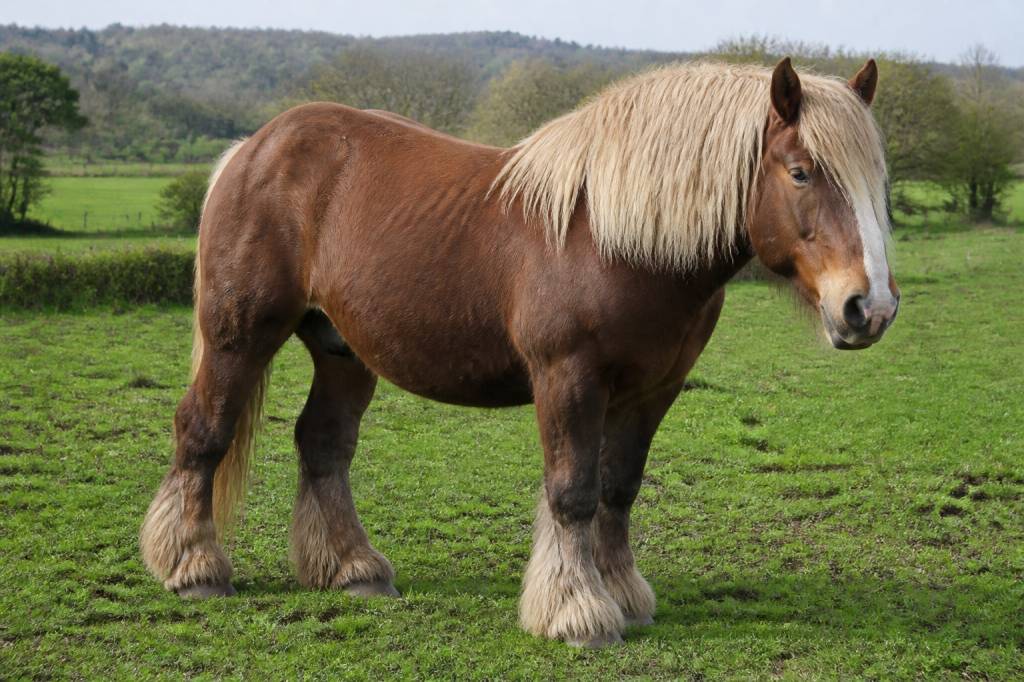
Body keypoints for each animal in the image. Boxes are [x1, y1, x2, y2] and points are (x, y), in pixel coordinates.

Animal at [140, 57, 899, 647]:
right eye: (801, 172)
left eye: (880, 183)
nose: (869, 308)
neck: (611, 236)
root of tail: (251, 148)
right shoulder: (568, 378)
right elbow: (573, 490)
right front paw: (576, 611)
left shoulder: (652, 391)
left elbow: (618, 488)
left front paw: (622, 594)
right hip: (240, 335)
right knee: (203, 431)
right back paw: (193, 568)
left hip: (342, 349)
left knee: (323, 444)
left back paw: (354, 570)